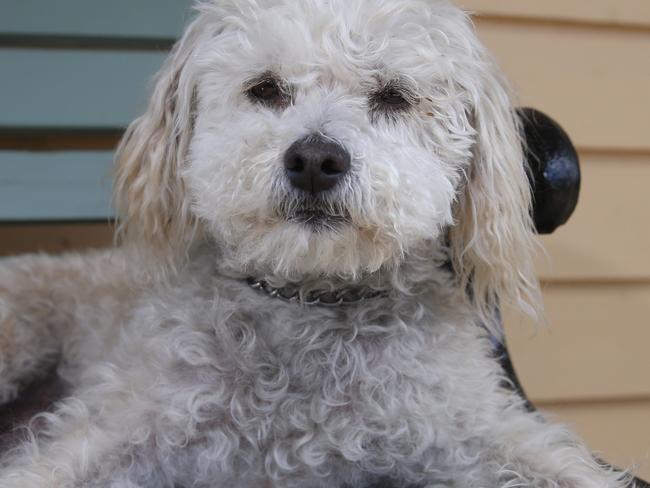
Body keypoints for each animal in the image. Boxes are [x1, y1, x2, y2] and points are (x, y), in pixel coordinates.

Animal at [0, 0, 632, 488]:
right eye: (265, 89)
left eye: (394, 96)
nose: (313, 160)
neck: (312, 298)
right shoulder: (125, 425)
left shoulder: (473, 426)